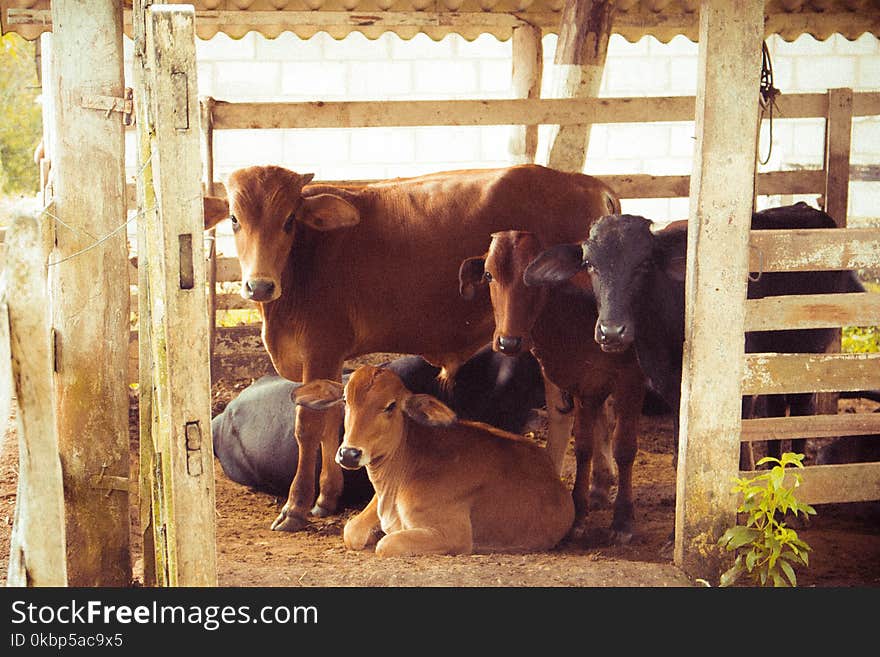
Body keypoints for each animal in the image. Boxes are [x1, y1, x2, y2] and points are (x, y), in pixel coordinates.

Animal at [292, 364, 576, 552]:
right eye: (345, 400)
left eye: (391, 406)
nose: (350, 453)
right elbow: (351, 531)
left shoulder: (453, 534)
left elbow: (386, 544)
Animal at [460, 231, 648, 544]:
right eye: (488, 274)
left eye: (534, 278)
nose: (509, 342)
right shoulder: (584, 385)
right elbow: (583, 447)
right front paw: (578, 515)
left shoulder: (630, 381)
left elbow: (624, 448)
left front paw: (622, 520)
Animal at [524, 202, 868, 464]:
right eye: (590, 265)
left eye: (644, 264)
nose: (612, 332)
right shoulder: (669, 385)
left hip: (807, 353)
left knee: (798, 410)